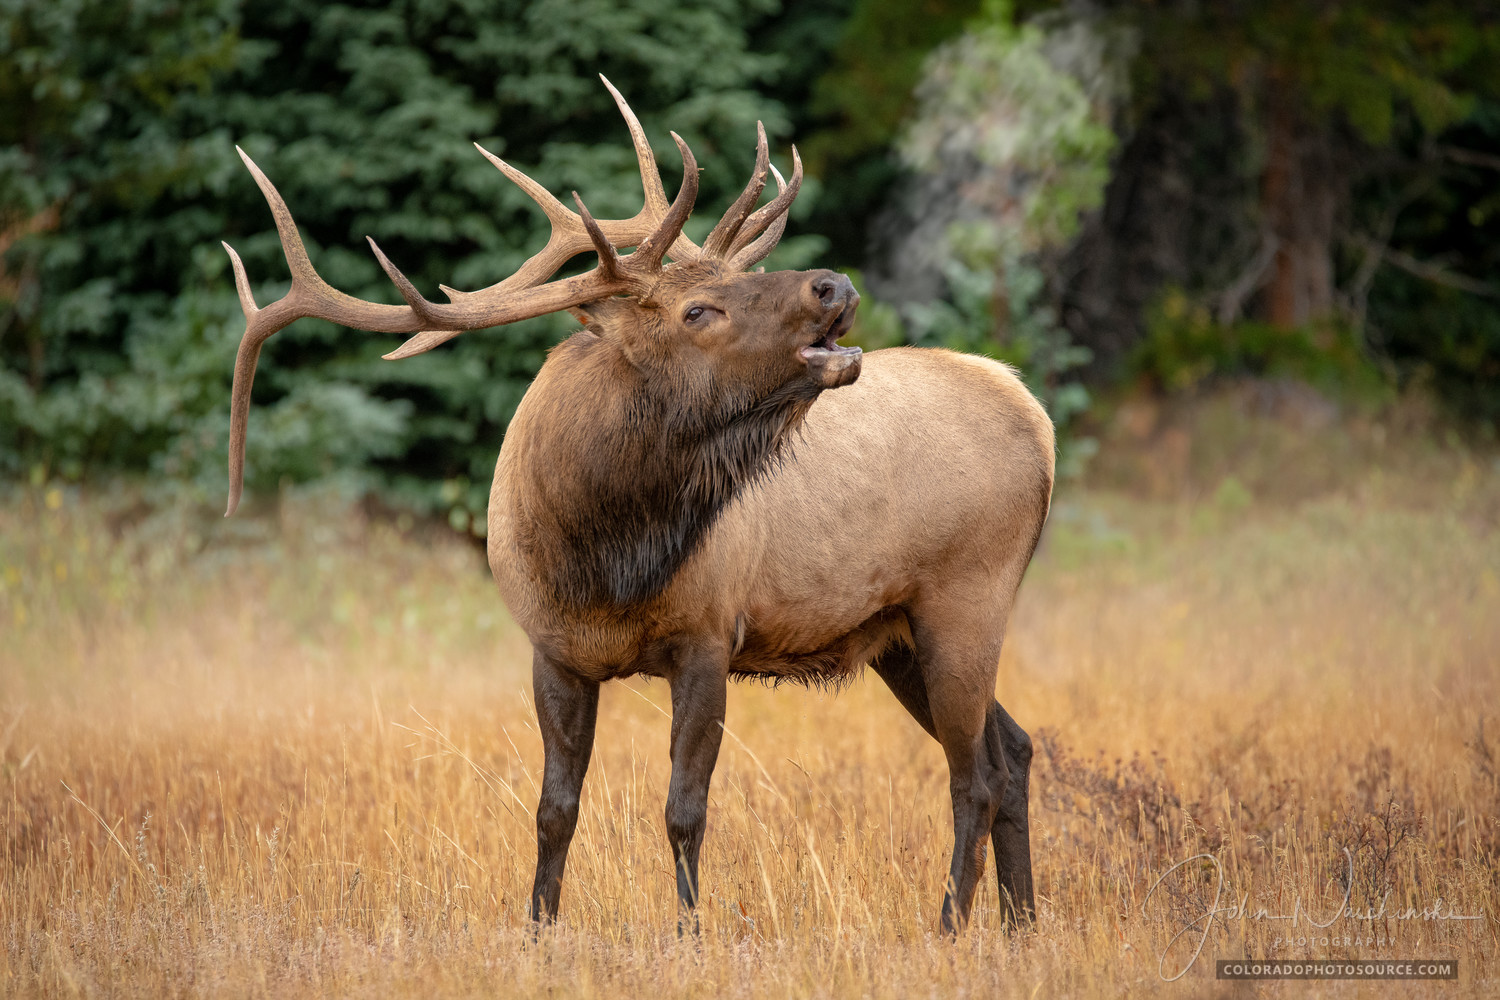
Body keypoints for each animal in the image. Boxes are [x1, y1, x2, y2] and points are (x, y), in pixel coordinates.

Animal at [221, 77, 1054, 935]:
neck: (605, 557)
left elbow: (684, 810)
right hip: (899, 632)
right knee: (1016, 749)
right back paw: (1020, 924)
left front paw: (690, 932)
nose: (835, 284)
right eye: (699, 309)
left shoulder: (709, 636)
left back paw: (950, 927)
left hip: (966, 595)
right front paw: (538, 926)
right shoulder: (552, 649)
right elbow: (554, 809)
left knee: (975, 775)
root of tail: (1032, 409)